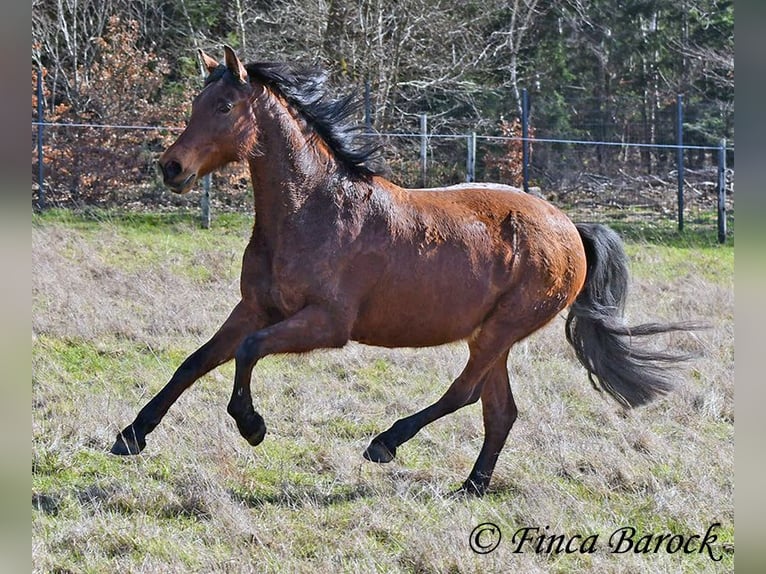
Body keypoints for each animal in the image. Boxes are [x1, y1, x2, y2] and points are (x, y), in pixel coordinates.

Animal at [111, 45, 699, 496]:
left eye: (225, 104)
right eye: (197, 102)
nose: (171, 168)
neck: (312, 210)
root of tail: (570, 227)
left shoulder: (326, 324)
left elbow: (249, 351)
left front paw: (252, 426)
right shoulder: (255, 307)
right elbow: (196, 362)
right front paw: (130, 435)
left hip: (500, 330)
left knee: (464, 394)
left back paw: (385, 444)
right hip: (493, 337)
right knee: (500, 411)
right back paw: (470, 488)